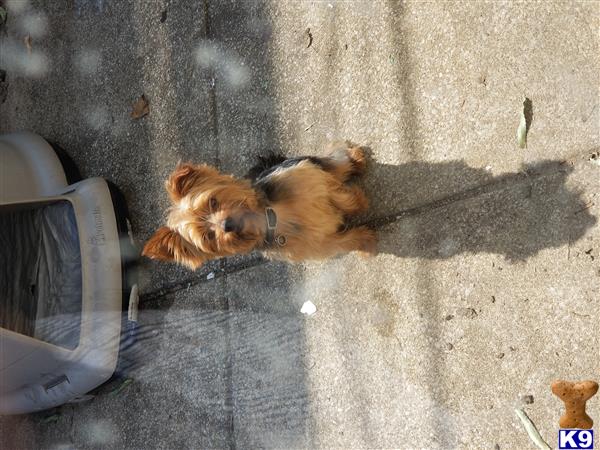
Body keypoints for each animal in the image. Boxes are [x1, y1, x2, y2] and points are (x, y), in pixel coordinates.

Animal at [142, 142, 376, 268]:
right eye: (208, 236)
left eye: (212, 201)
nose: (227, 225)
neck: (273, 217)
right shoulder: (319, 245)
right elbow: (342, 241)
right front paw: (364, 239)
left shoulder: (311, 180)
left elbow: (339, 196)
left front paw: (359, 203)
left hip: (300, 162)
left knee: (333, 164)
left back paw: (355, 160)